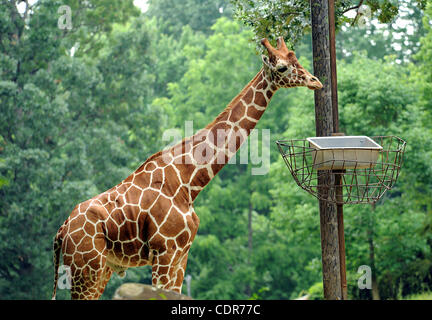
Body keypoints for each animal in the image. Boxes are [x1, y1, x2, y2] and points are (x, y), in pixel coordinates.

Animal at [51, 37, 320, 300]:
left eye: (296, 58)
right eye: (282, 67)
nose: (315, 81)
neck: (189, 181)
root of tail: (61, 231)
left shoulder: (182, 255)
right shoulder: (165, 252)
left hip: (101, 269)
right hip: (87, 268)